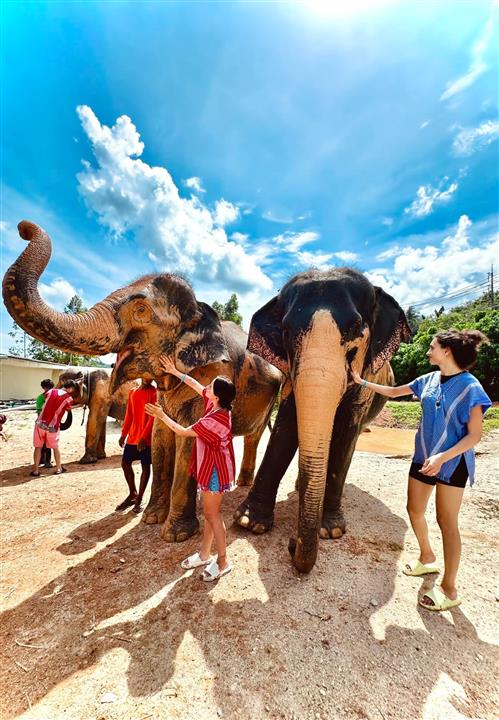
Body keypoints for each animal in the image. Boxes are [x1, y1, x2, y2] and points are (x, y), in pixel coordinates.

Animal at [3, 220, 283, 541]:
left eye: (140, 311)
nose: (23, 228)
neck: (199, 310)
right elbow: (161, 437)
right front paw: (151, 519)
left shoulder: (211, 375)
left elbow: (187, 439)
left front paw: (175, 535)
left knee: (254, 436)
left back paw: (241, 485)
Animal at [233, 267, 411, 572]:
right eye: (285, 330)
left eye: (357, 329)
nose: (292, 543)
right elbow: (287, 428)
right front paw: (248, 522)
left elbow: (344, 436)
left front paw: (330, 530)